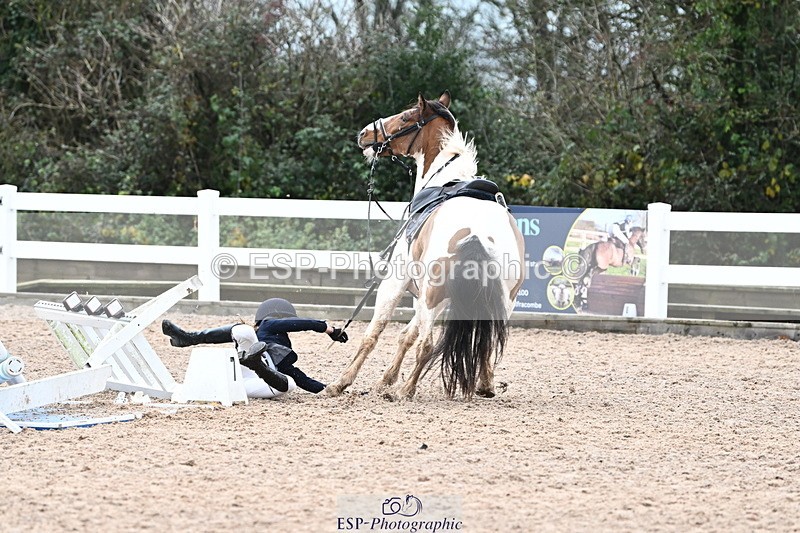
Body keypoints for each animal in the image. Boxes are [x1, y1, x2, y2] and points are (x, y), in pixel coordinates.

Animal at [323, 91, 525, 400]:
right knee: (486, 343)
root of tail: (477, 233)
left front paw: (342, 382)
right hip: (498, 300)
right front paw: (385, 379)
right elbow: (407, 335)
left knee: (427, 344)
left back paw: (406, 390)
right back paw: (484, 385)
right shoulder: (431, 298)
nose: (364, 134)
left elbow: (374, 334)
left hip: (431, 295)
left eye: (406, 116)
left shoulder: (397, 281)